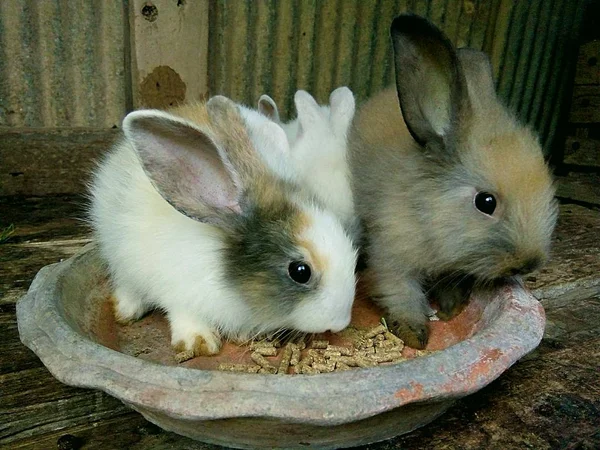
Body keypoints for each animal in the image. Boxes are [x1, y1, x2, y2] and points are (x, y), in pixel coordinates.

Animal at [89, 96, 356, 356]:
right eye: (300, 271)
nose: (341, 322)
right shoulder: (180, 292)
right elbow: (185, 315)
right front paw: (198, 343)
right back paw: (127, 310)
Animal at [346, 13, 556, 348]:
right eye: (486, 202)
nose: (530, 263)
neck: (430, 215)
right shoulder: (391, 255)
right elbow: (401, 292)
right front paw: (414, 334)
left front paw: (451, 308)